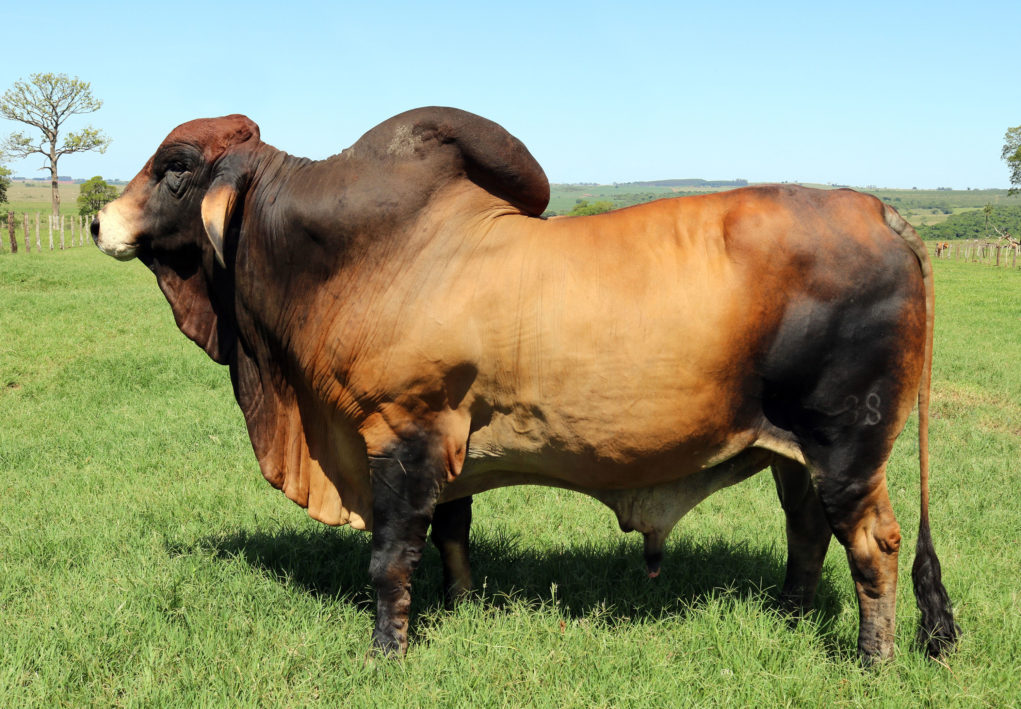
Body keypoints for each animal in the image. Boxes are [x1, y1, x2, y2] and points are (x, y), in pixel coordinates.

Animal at [93, 108, 955, 662]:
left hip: (846, 447)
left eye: (173, 169)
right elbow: (450, 533)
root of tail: (878, 211)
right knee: (806, 532)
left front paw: (386, 653)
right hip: (790, 450)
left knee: (873, 544)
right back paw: (788, 616)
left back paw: (871, 659)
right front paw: (461, 606)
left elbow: (389, 558)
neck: (346, 258)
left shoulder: (400, 436)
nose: (100, 221)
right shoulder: (444, 446)